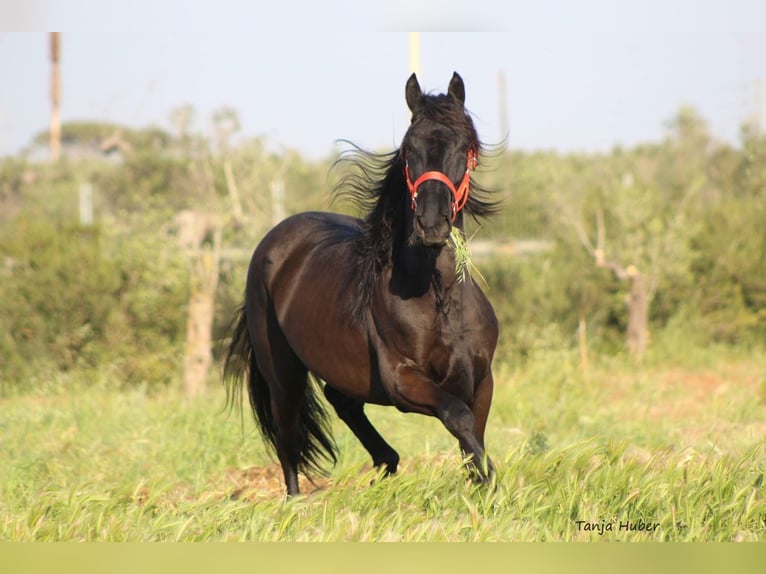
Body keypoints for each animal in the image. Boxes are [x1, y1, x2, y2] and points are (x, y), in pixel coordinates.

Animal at [225, 71, 500, 496]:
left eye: (465, 148)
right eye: (409, 149)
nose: (432, 225)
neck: (441, 301)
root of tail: (274, 241)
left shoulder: (481, 380)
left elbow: (474, 438)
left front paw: (483, 487)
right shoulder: (402, 380)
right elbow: (459, 418)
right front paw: (491, 484)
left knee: (342, 401)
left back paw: (386, 463)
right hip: (282, 372)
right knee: (288, 439)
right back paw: (297, 501)